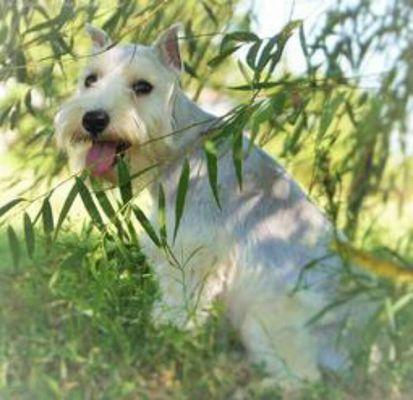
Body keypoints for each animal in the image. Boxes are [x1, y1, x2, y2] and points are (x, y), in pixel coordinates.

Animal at [54, 23, 360, 386]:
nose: (93, 119)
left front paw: (166, 330)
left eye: (142, 87)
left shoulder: (193, 253)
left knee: (302, 377)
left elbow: (179, 302)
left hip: (267, 317)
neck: (183, 146)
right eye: (90, 79)